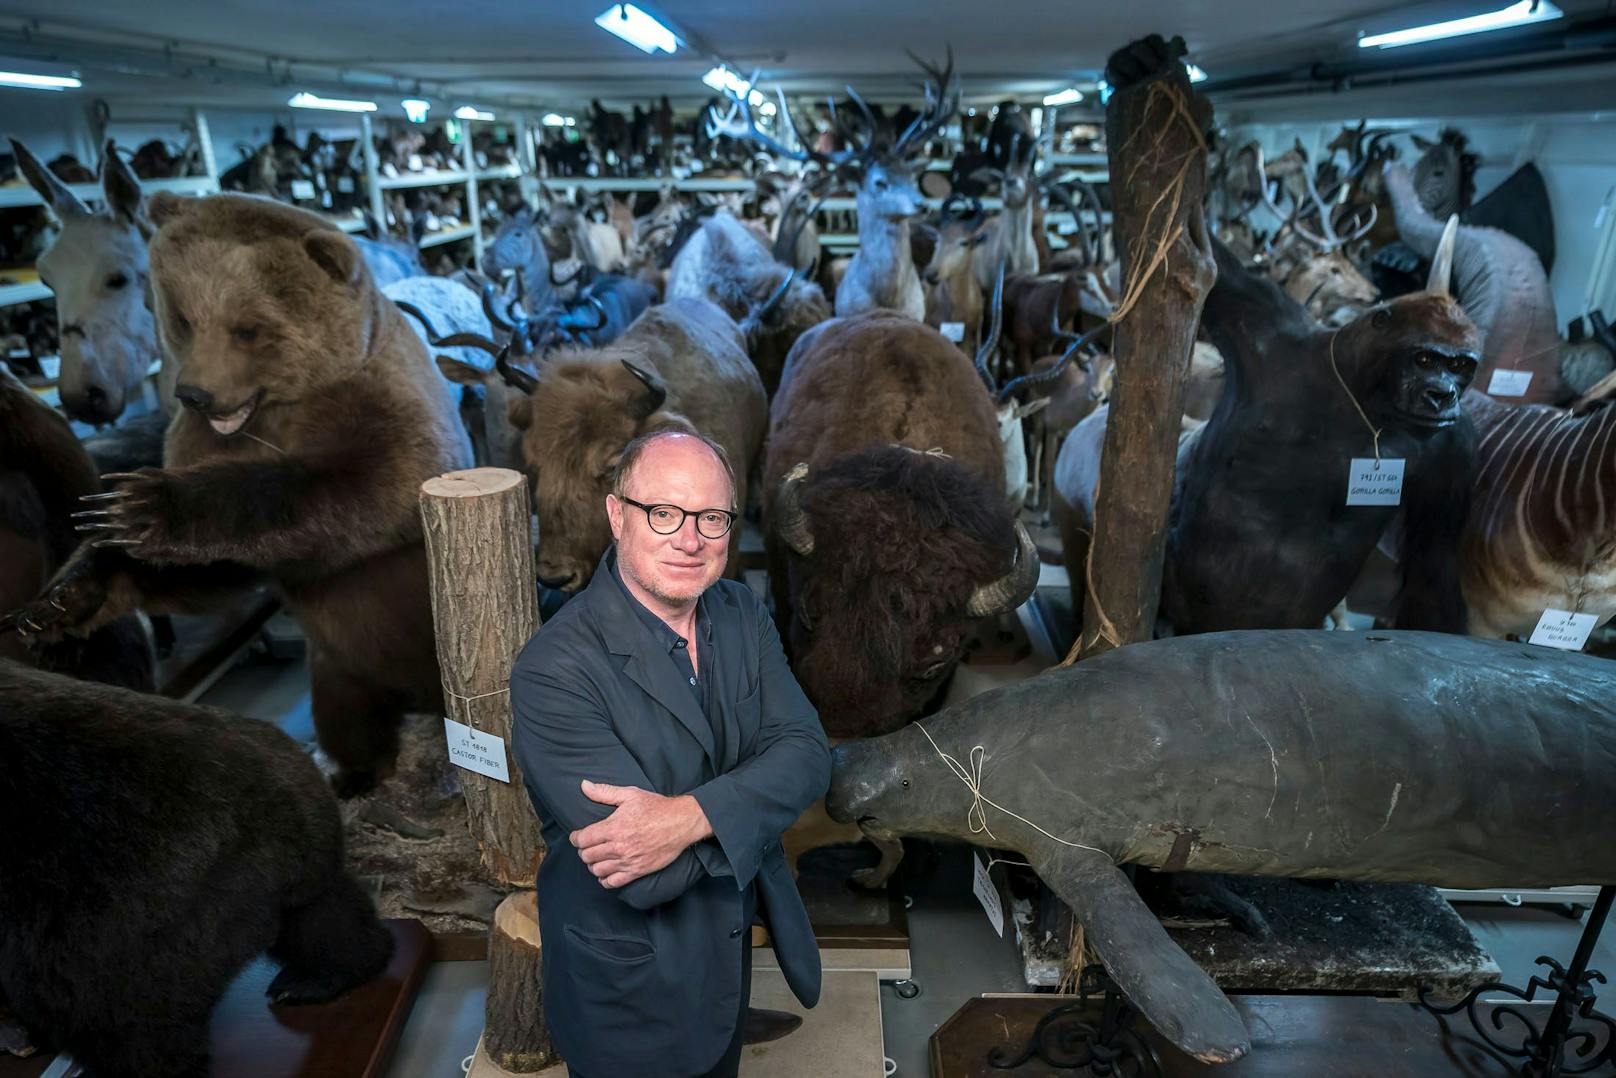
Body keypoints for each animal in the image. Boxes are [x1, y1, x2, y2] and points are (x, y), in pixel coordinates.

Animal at [6, 193, 471, 798]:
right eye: (181, 318)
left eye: (247, 329)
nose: (194, 392)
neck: (273, 411)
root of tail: (415, 696)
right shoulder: (198, 438)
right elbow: (214, 571)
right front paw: (62, 598)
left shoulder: (384, 404)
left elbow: (364, 487)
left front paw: (143, 504)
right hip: (339, 669)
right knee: (348, 721)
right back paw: (354, 776)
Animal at [1053, 232, 1480, 636]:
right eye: (1425, 358)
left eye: (1460, 365)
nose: (1443, 395)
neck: (1361, 400)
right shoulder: (1262, 318)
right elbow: (1205, 265)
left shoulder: (1454, 450)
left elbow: (1432, 570)